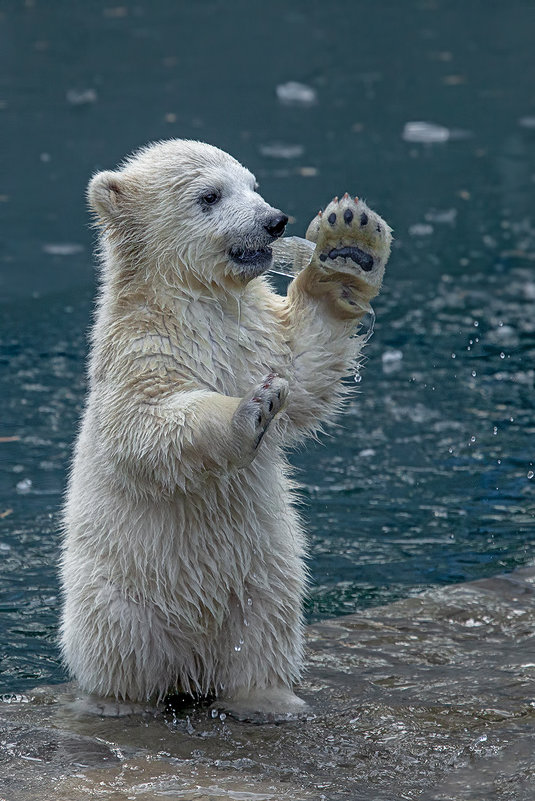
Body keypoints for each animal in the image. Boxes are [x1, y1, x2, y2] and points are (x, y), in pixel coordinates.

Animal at [59, 138, 394, 720]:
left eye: (252, 184)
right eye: (210, 196)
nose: (274, 221)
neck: (196, 302)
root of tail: (191, 662)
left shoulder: (253, 331)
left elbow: (304, 365)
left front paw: (350, 243)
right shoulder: (140, 345)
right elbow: (143, 422)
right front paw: (250, 410)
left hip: (267, 571)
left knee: (263, 630)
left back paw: (268, 700)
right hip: (117, 589)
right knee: (120, 645)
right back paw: (115, 703)